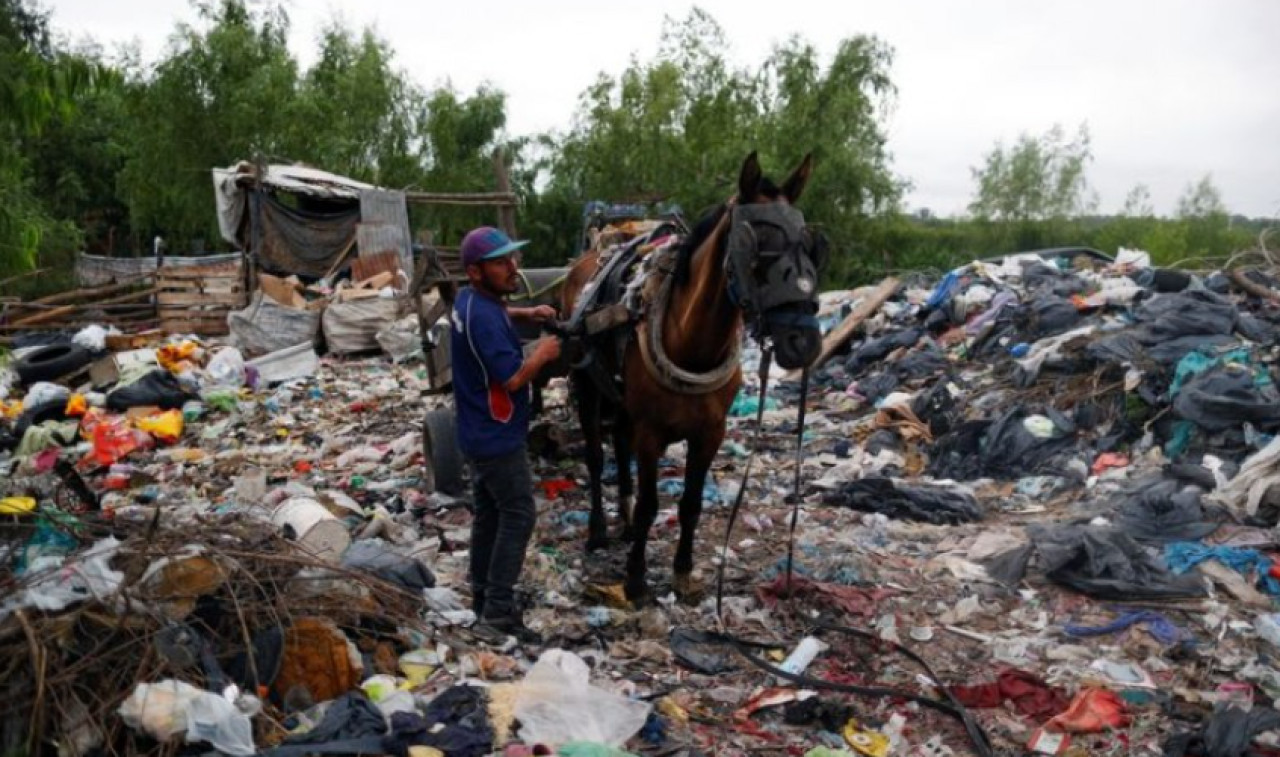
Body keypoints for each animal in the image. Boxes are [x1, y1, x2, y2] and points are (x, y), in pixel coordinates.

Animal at [563, 152, 824, 604]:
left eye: (811, 245)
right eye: (757, 245)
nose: (803, 342)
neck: (691, 342)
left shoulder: (710, 434)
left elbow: (691, 503)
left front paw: (682, 571)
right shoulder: (651, 433)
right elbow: (651, 504)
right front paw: (635, 577)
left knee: (619, 445)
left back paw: (624, 524)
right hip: (588, 386)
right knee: (596, 457)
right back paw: (598, 531)